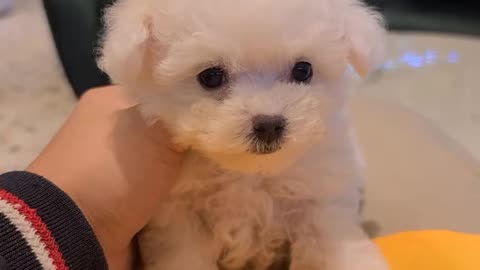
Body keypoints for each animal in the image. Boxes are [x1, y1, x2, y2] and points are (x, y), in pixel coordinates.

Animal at [100, 1, 386, 268]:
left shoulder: (322, 199)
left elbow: (334, 242)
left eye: (303, 70)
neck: (250, 173)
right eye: (211, 76)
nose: (269, 124)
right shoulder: (179, 217)